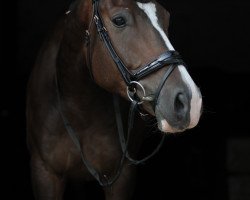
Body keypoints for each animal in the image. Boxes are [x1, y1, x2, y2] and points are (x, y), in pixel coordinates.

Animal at [26, 0, 203, 199]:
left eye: (166, 17)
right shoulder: (45, 173)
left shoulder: (122, 177)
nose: (189, 101)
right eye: (119, 20)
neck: (79, 111)